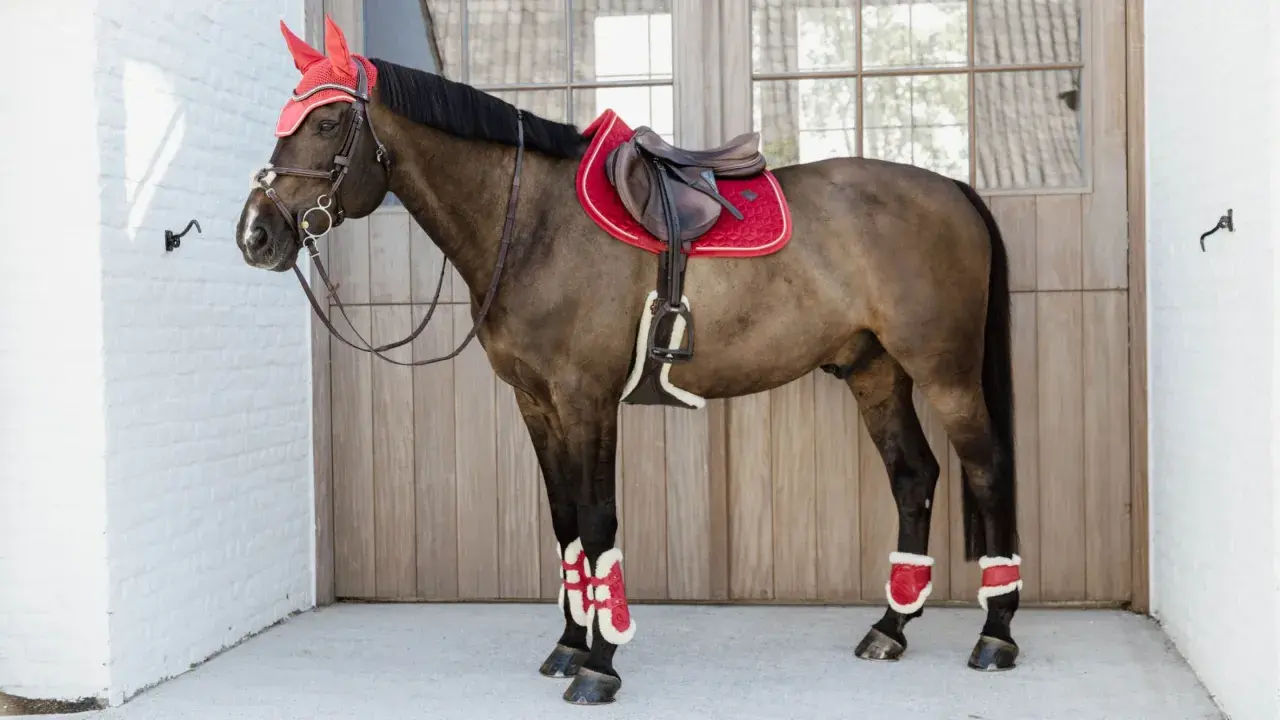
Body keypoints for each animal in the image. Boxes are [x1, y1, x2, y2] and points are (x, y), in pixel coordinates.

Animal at [236, 16, 1023, 706]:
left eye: (327, 124)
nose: (256, 234)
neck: (535, 223)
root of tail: (952, 188)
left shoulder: (587, 399)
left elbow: (597, 522)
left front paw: (601, 665)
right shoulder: (536, 402)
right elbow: (563, 522)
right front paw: (568, 645)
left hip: (947, 373)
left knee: (987, 471)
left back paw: (996, 635)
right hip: (875, 371)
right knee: (914, 478)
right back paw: (891, 627)